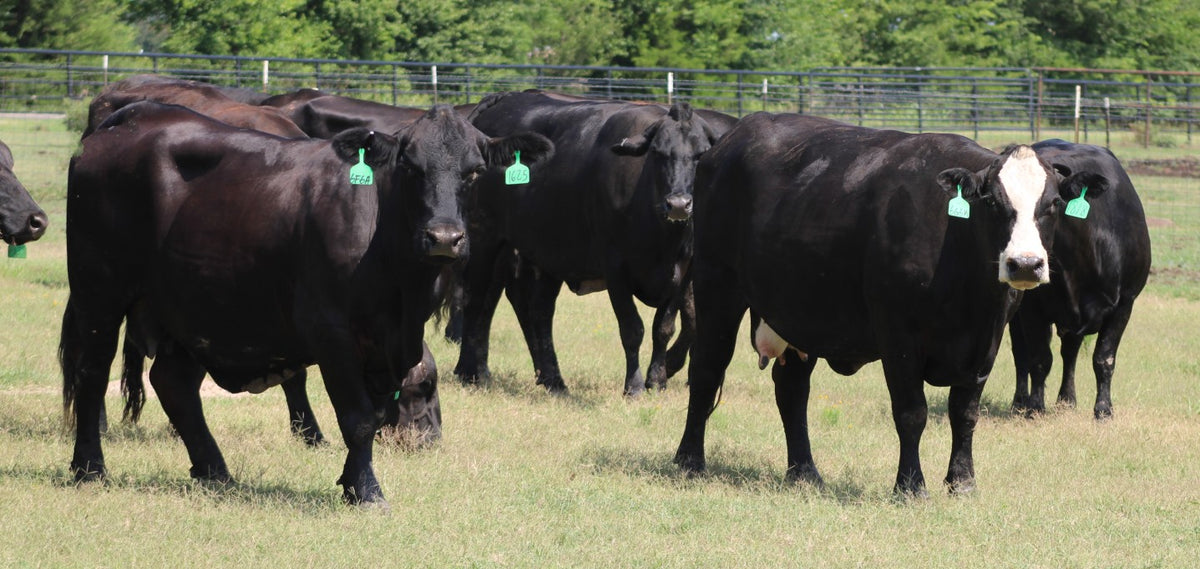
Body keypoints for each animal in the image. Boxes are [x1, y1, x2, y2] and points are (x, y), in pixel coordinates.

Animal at [61, 101, 552, 505]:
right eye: (411, 167)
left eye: (474, 171)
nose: (445, 238)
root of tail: (126, 120)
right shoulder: (331, 331)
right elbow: (358, 418)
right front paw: (368, 493)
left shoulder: (385, 342)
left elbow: (373, 415)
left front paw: (353, 483)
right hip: (99, 292)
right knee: (92, 373)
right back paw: (89, 468)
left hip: (192, 304)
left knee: (174, 383)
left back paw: (215, 471)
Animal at [453, 90, 735, 395]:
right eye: (658, 153)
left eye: (700, 155)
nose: (679, 204)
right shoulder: (615, 267)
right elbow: (632, 328)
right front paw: (634, 386)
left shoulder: (684, 271)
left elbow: (664, 328)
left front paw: (657, 379)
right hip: (485, 238)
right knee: (476, 301)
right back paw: (470, 372)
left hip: (541, 251)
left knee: (536, 311)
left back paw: (552, 380)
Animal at [671, 113, 1107, 496]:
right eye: (993, 202)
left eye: (1052, 204)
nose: (1026, 264)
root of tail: (730, 139)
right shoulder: (898, 334)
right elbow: (912, 412)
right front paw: (910, 485)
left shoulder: (988, 338)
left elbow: (965, 412)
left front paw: (962, 481)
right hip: (716, 285)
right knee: (707, 369)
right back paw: (689, 461)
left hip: (799, 312)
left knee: (792, 389)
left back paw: (805, 472)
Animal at [1009, 139, 1152, 419]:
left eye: (1054, 202)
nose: (1024, 261)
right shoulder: (1031, 306)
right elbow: (1039, 358)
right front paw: (1035, 408)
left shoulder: (1125, 303)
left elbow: (1104, 358)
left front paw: (1104, 410)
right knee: (1021, 352)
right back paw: (1020, 402)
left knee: (1070, 350)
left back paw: (1067, 400)